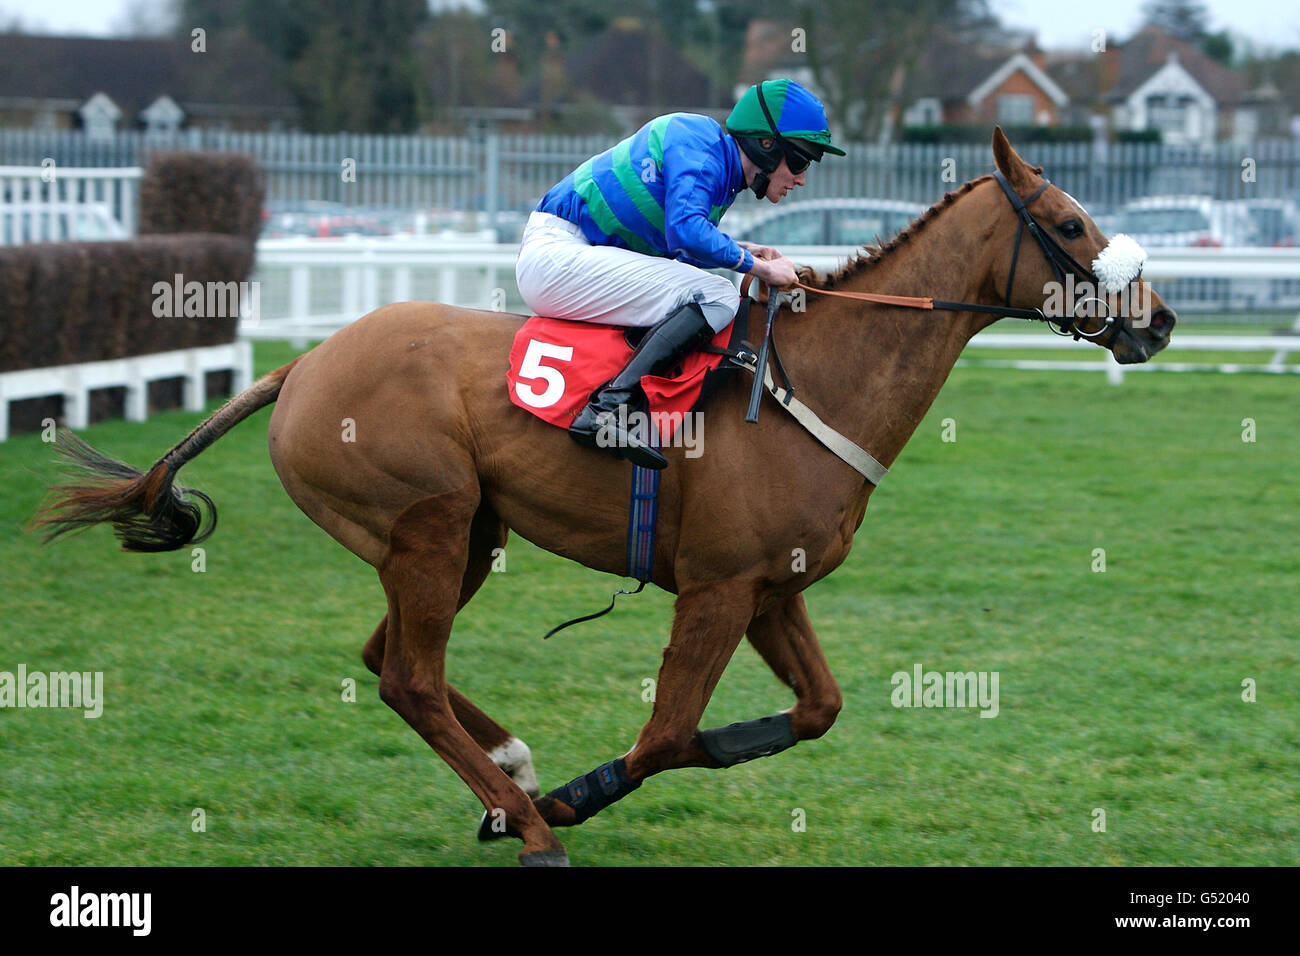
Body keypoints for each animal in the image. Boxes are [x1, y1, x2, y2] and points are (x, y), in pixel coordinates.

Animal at [32, 127, 1180, 868]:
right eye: (1070, 222)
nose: (1161, 319)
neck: (811, 380)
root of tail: (302, 365)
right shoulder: (716, 588)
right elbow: (667, 734)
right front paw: (573, 797)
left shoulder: (771, 588)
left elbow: (816, 709)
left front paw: (553, 784)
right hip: (427, 523)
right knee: (408, 675)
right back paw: (531, 821)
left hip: (467, 535)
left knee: (388, 656)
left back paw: (507, 775)